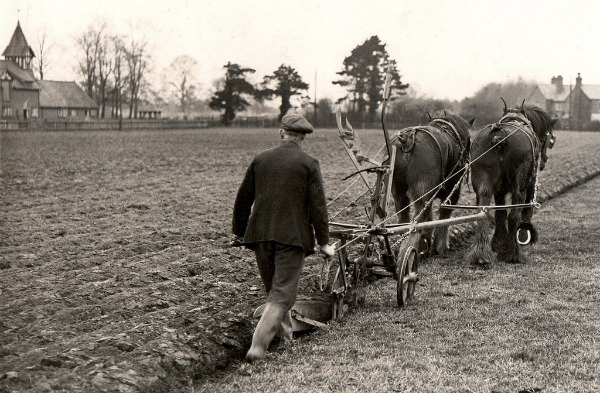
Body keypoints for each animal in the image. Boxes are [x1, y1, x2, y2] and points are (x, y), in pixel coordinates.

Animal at [390, 112, 478, 256]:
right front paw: (440, 245)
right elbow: (445, 215)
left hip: (398, 190)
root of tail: (408, 141)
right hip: (422, 190)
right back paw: (417, 247)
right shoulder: (453, 191)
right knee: (419, 219)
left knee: (404, 217)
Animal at [466, 99, 556, 266]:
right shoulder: (530, 183)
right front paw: (524, 234)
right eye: (548, 138)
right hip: (519, 184)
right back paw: (513, 253)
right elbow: (526, 210)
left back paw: (481, 254)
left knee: (482, 211)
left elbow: (500, 213)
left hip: (483, 180)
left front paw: (498, 242)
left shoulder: (499, 190)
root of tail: (499, 135)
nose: (543, 161)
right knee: (514, 214)